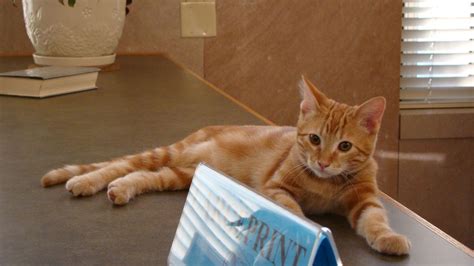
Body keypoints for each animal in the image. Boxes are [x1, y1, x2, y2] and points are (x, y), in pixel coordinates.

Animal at [41, 77, 412, 256]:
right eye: (314, 139)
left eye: (344, 146)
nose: (322, 163)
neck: (324, 184)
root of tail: (202, 131)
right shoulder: (276, 187)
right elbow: (295, 211)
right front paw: (303, 229)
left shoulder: (365, 198)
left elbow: (375, 219)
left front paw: (389, 237)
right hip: (170, 155)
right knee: (122, 164)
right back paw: (86, 181)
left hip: (183, 174)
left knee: (141, 175)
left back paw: (121, 189)